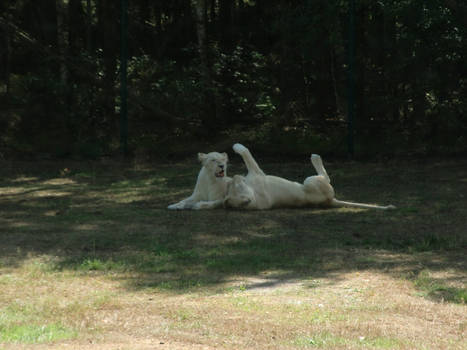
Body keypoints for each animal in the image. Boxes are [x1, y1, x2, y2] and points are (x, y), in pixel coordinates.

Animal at [223, 143, 394, 211]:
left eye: (234, 186)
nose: (235, 176)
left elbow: (245, 153)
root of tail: (331, 201)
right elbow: (245, 152)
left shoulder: (256, 172)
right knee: (326, 177)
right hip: (310, 182)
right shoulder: (257, 172)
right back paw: (315, 157)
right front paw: (236, 146)